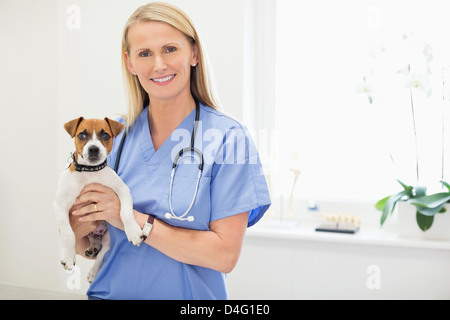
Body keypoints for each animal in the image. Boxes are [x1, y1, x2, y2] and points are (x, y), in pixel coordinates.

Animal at [53, 117, 143, 282]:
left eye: (105, 135)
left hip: (108, 237)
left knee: (102, 253)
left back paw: (94, 270)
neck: (89, 172)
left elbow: (126, 213)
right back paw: (92, 247)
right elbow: (68, 234)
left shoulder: (123, 191)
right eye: (82, 135)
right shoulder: (60, 205)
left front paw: (133, 231)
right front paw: (68, 257)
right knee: (94, 242)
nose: (93, 149)